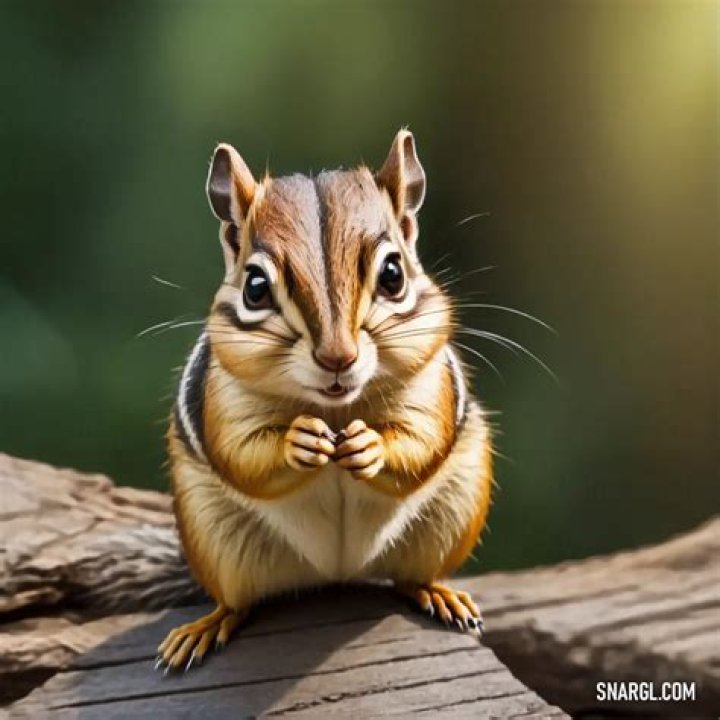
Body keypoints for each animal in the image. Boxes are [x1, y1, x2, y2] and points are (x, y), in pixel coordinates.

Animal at [156, 130, 493, 671]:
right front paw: (300, 442)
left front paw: (368, 446)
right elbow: (240, 454)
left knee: (411, 577)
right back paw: (205, 627)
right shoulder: (223, 397)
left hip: (453, 513)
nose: (338, 356)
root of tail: (335, 571)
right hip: (213, 538)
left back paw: (440, 594)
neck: (334, 408)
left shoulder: (430, 385)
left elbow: (422, 441)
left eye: (394, 274)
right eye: (254, 288)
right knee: (236, 602)